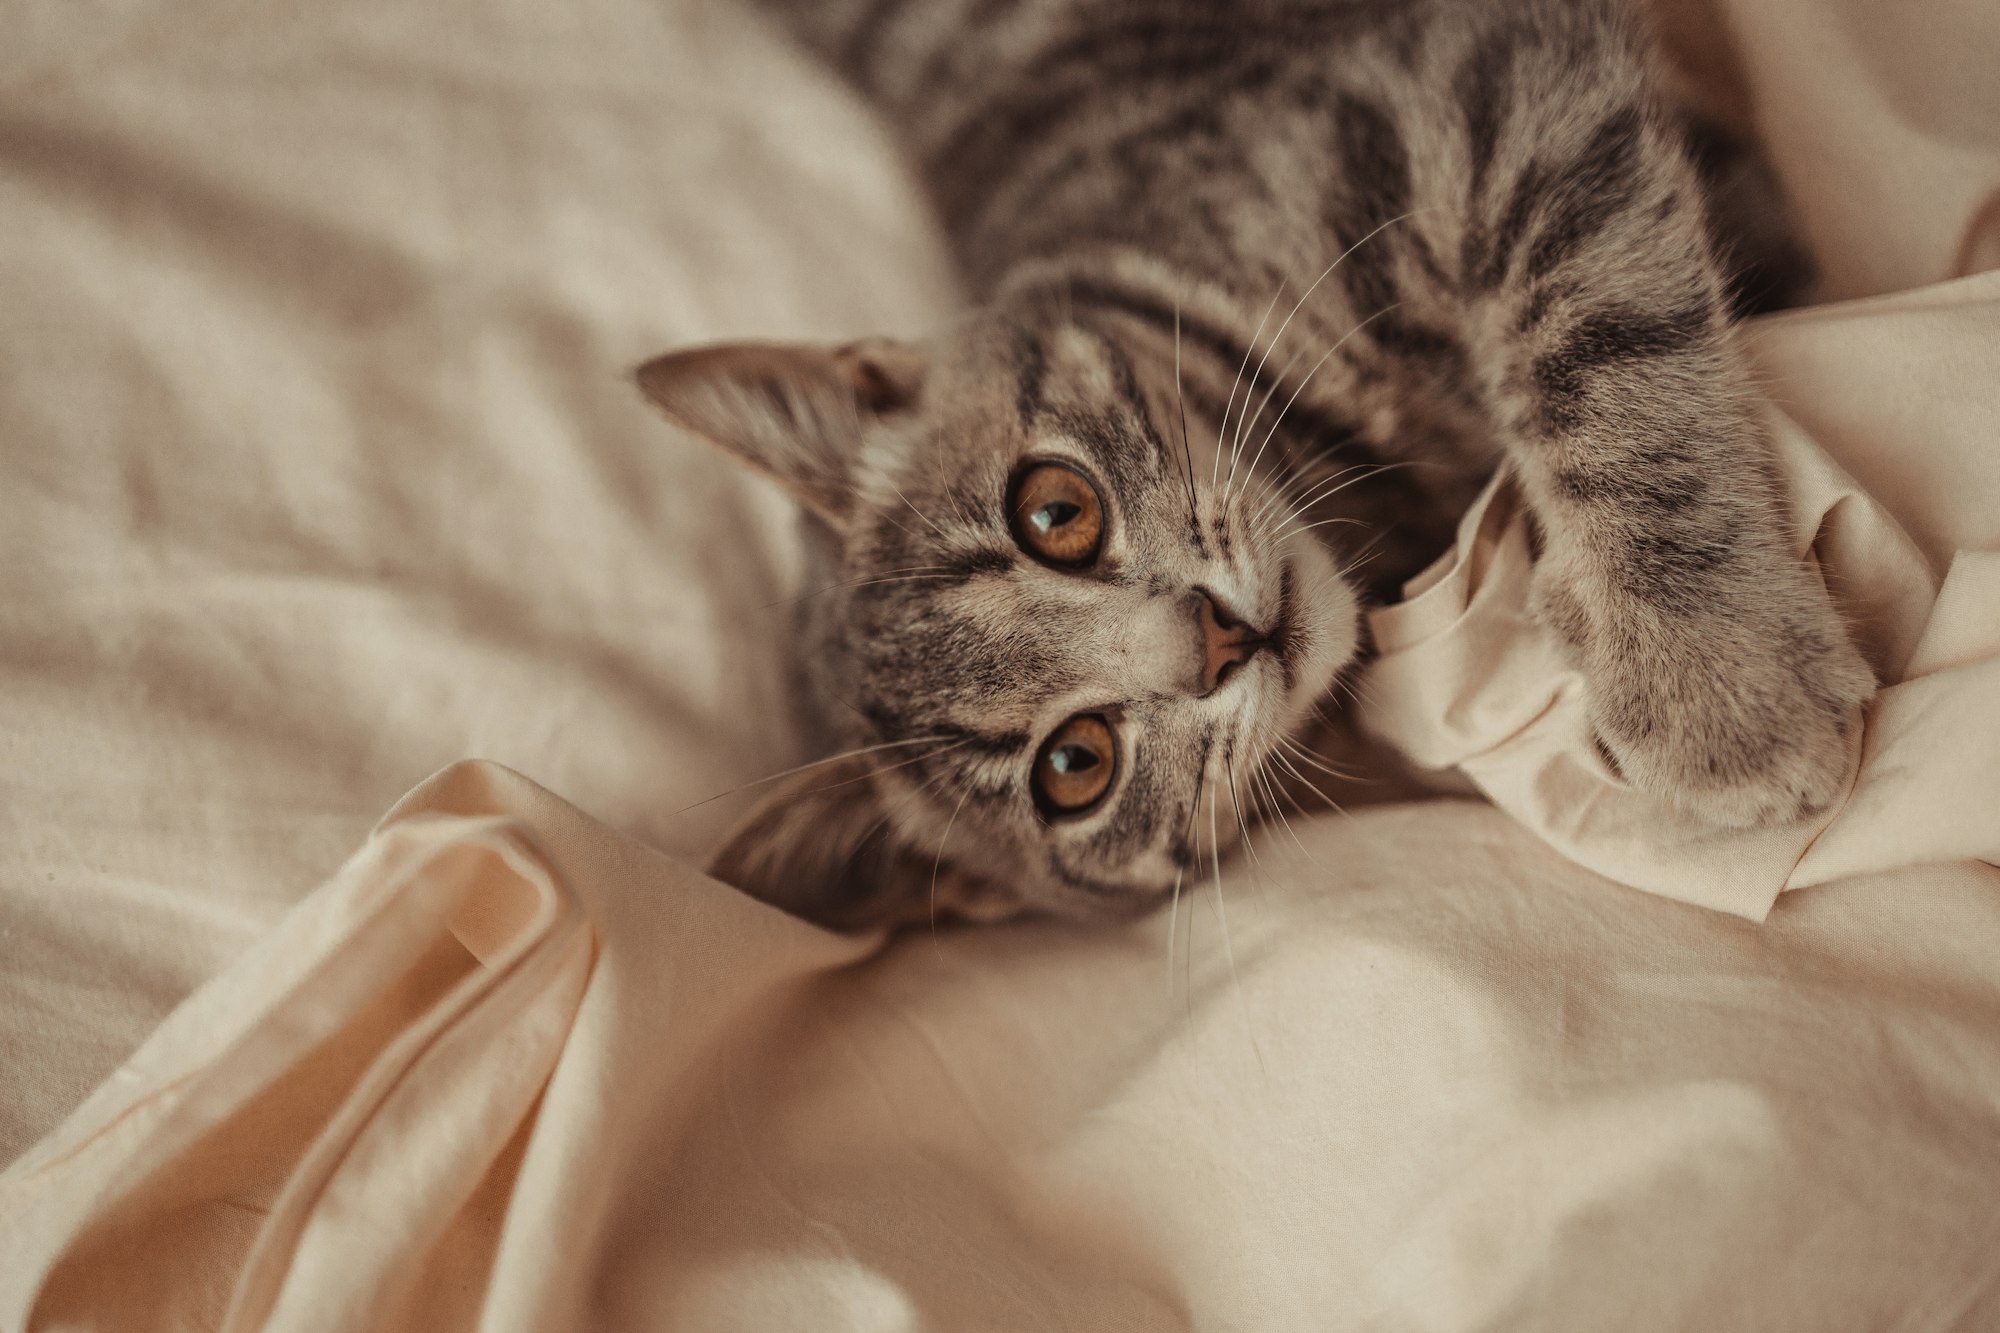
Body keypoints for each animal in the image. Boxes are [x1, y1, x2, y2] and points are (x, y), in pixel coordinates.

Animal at [640, 0, 1872, 924]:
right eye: (1074, 768)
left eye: (1053, 511)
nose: (1214, 637)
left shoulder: (1468, 88)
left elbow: (1596, 326)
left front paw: (1714, 674)